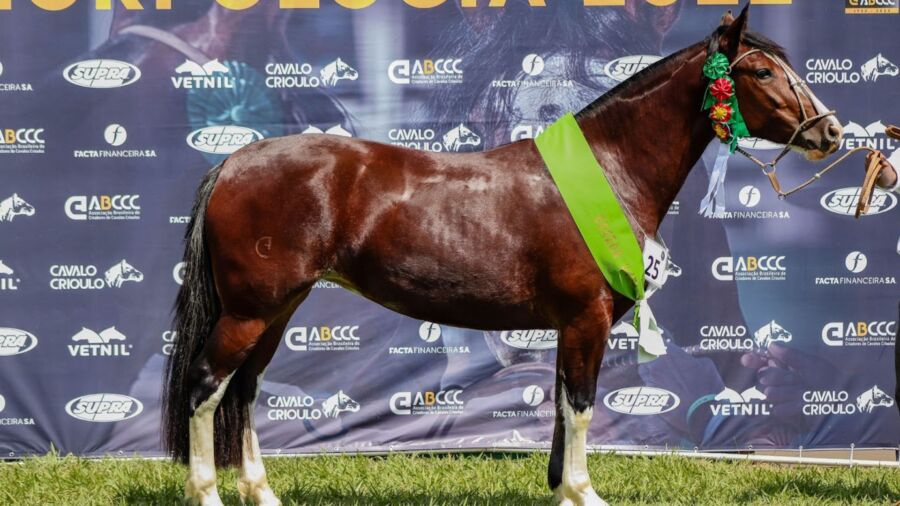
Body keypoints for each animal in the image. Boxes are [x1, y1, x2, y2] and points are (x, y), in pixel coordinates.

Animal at [164, 8, 843, 506]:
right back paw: (208, 493)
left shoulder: (572, 325)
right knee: (206, 385)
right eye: (761, 73)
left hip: (278, 308)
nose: (830, 132)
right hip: (252, 309)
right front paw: (582, 493)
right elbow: (581, 407)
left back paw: (261, 492)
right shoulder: (588, 319)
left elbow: (564, 408)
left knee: (245, 388)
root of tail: (233, 162)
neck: (609, 168)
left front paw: (562, 489)